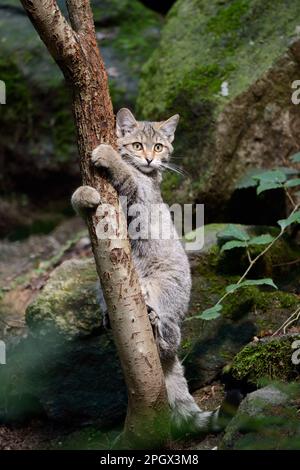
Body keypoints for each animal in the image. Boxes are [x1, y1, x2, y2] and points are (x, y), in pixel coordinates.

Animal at [72, 108, 223, 436]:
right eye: (138, 145)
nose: (151, 160)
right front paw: (84, 193)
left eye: (159, 147)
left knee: (172, 340)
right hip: (101, 289)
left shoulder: (140, 197)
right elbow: (80, 200)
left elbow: (127, 176)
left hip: (168, 298)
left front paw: (108, 155)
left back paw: (157, 325)